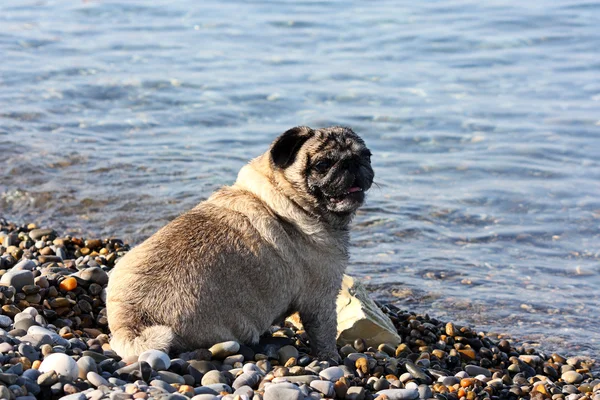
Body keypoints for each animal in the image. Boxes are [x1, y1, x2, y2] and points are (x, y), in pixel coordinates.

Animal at [105, 126, 372, 360]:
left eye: (366, 155)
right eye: (322, 164)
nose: (352, 163)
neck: (288, 200)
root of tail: (131, 320)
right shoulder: (321, 298)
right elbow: (324, 334)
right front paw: (332, 358)